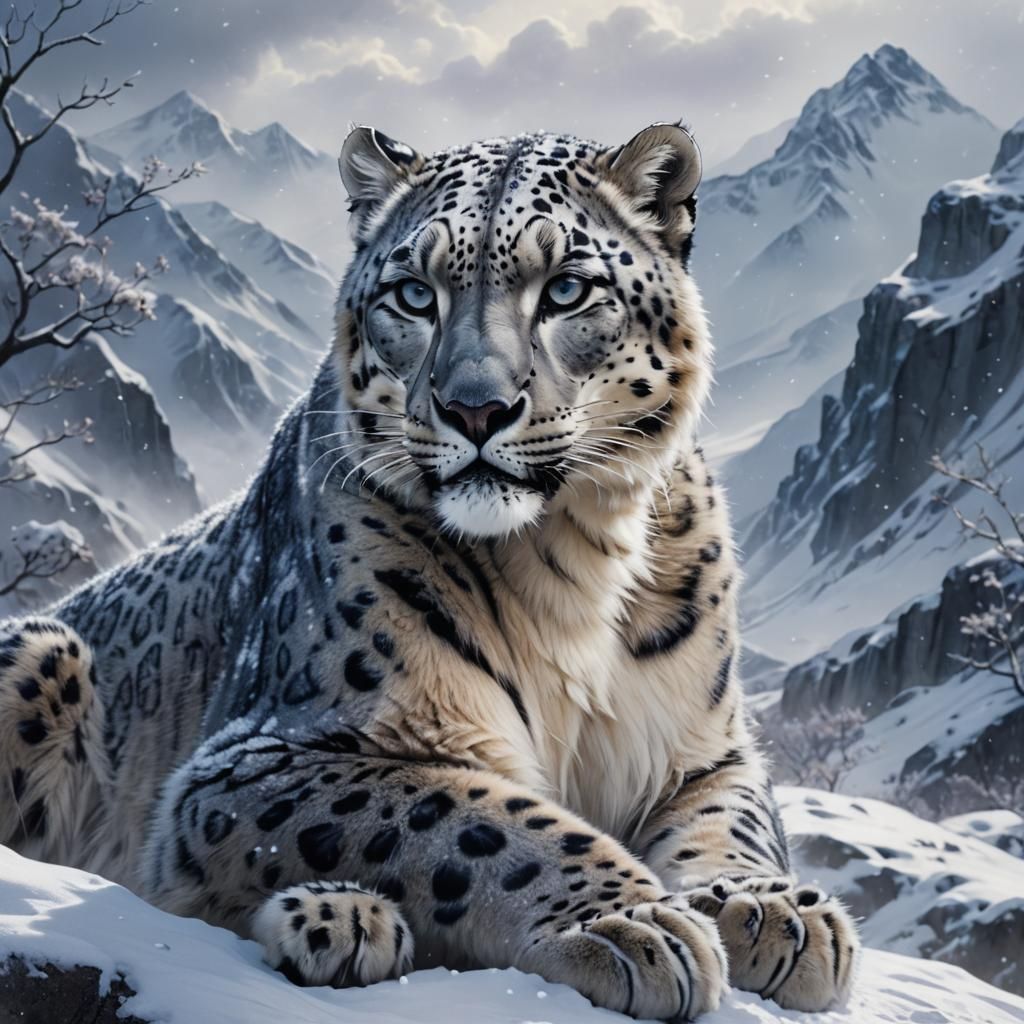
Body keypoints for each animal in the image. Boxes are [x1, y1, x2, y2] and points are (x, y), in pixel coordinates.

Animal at [0, 122, 859, 1020]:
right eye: (414, 295)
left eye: (567, 289)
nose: (475, 408)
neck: (576, 565)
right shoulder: (260, 754)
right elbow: (469, 816)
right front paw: (630, 920)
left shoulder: (705, 745)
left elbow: (735, 821)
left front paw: (772, 910)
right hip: (45, 649)